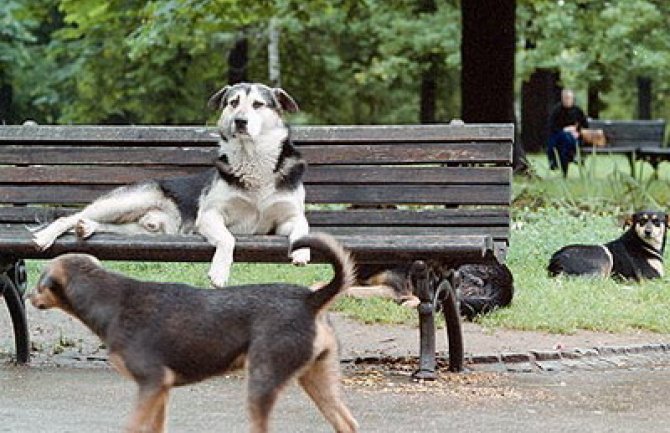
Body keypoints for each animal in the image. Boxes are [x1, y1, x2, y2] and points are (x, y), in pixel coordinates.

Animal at [29, 233, 360, 432]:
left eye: (39, 284)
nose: (30, 296)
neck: (109, 300)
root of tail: (311, 300)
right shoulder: (160, 391)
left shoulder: (151, 382)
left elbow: (131, 426)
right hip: (317, 377)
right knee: (347, 422)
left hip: (262, 381)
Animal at [32, 83, 312, 288]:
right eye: (233, 103)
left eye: (257, 104)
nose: (240, 121)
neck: (253, 161)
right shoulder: (210, 217)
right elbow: (228, 239)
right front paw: (219, 272)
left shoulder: (284, 221)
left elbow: (302, 227)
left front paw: (302, 253)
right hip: (128, 201)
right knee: (69, 217)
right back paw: (47, 235)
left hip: (146, 230)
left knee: (107, 225)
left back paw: (86, 228)